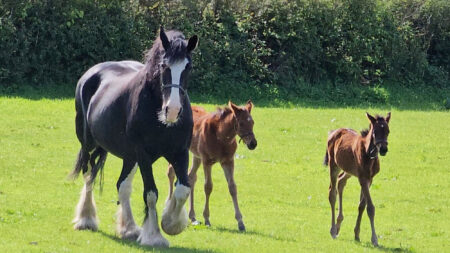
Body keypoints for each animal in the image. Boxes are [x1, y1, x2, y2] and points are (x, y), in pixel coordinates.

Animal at [70, 27, 197, 247]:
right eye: (164, 65)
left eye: (187, 67)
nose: (172, 110)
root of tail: (91, 74)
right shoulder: (143, 155)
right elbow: (151, 193)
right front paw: (154, 236)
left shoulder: (180, 152)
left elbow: (183, 189)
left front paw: (171, 223)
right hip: (89, 145)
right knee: (89, 175)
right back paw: (86, 218)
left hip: (129, 157)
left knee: (123, 186)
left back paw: (128, 228)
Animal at [167, 100, 256, 231]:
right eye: (241, 123)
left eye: (252, 122)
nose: (253, 144)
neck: (221, 137)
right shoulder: (207, 161)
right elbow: (208, 187)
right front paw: (207, 218)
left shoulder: (228, 161)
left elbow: (232, 187)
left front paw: (240, 222)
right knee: (170, 172)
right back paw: (169, 205)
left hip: (196, 156)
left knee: (191, 177)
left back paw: (192, 216)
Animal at [324, 111, 390, 246]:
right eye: (375, 131)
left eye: (388, 131)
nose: (383, 149)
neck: (369, 154)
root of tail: (332, 132)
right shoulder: (363, 179)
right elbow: (370, 207)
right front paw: (374, 239)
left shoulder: (369, 179)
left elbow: (362, 205)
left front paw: (357, 234)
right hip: (334, 165)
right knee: (332, 193)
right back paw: (333, 230)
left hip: (349, 170)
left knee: (341, 181)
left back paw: (338, 225)